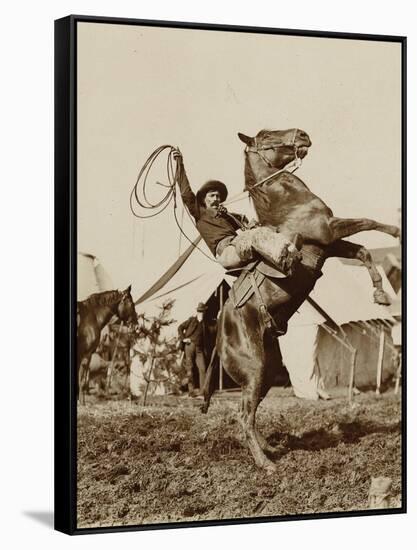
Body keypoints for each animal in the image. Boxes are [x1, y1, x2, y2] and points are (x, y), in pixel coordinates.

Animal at [205, 129, 400, 474]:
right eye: (266, 136)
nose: (302, 135)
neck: (288, 203)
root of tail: (219, 334)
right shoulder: (329, 230)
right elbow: (368, 221)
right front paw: (398, 231)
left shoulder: (331, 244)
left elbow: (363, 251)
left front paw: (379, 293)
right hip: (254, 369)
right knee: (244, 414)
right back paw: (266, 464)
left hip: (267, 372)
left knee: (251, 412)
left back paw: (269, 448)